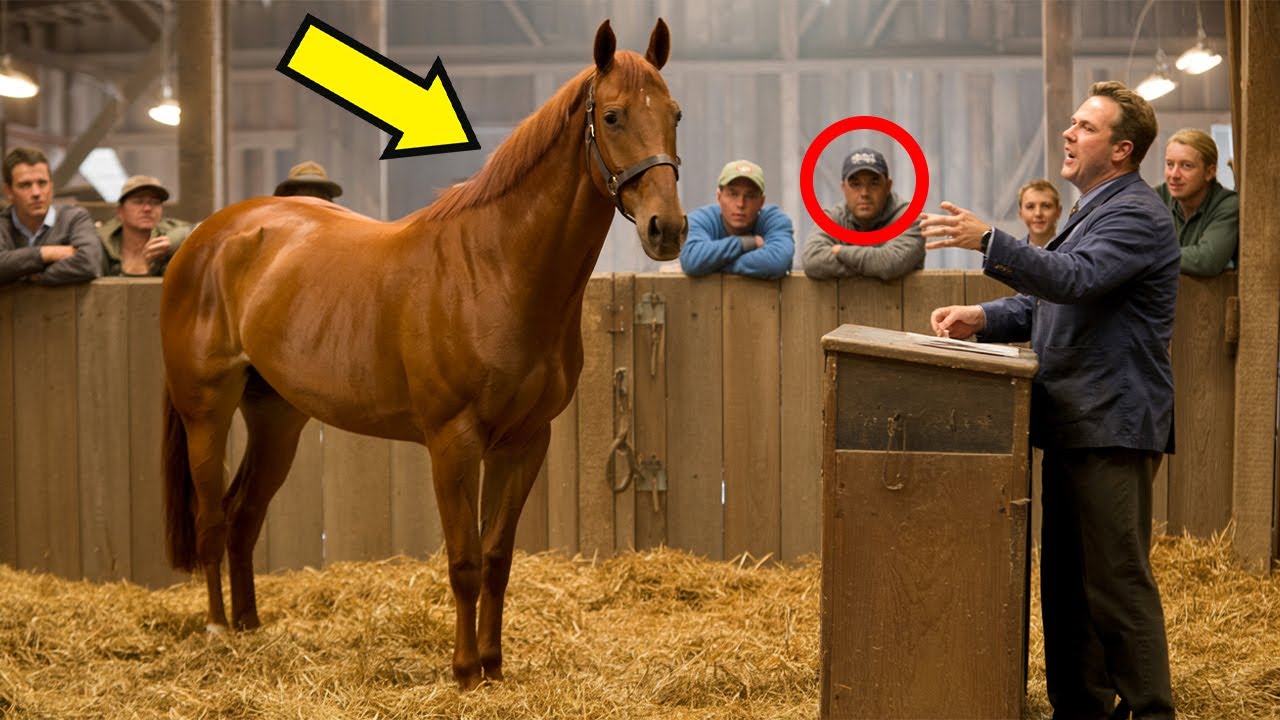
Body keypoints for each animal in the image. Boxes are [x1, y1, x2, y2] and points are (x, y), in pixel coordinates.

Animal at [160, 18, 685, 690]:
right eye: (613, 116)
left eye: (675, 114)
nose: (667, 229)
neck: (496, 269)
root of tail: (208, 237)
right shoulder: (453, 441)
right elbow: (464, 561)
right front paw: (463, 671)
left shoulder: (524, 440)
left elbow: (497, 558)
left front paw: (493, 666)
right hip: (207, 411)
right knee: (211, 517)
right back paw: (218, 630)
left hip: (277, 418)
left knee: (243, 515)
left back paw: (251, 628)